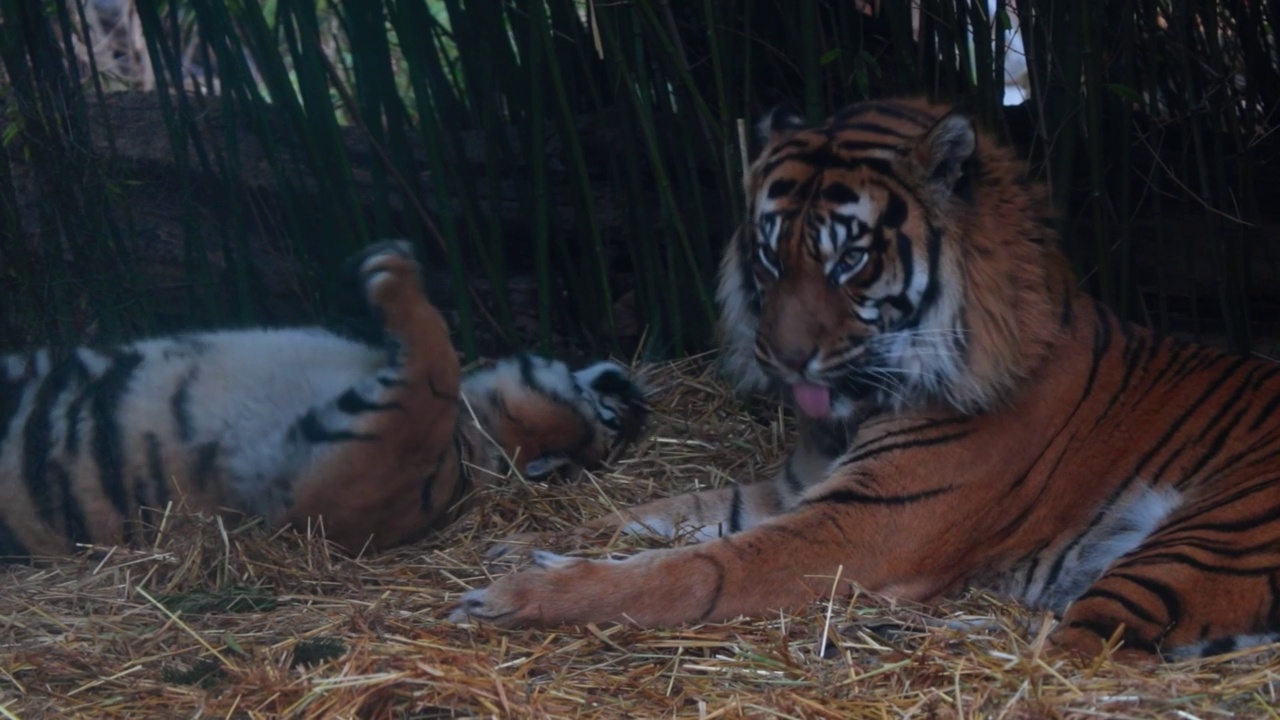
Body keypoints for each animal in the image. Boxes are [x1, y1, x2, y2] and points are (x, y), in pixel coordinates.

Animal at [0, 240, 645, 561]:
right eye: (614, 416)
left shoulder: (337, 487)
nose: (634, 390)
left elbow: (436, 363)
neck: (478, 425)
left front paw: (392, 276)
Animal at [455, 98, 1280, 661]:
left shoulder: (861, 524)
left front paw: (515, 593)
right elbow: (655, 513)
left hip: (1201, 539)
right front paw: (525, 544)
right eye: (769, 255)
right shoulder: (794, 490)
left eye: (847, 260)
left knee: (1081, 660)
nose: (783, 358)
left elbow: (688, 570)